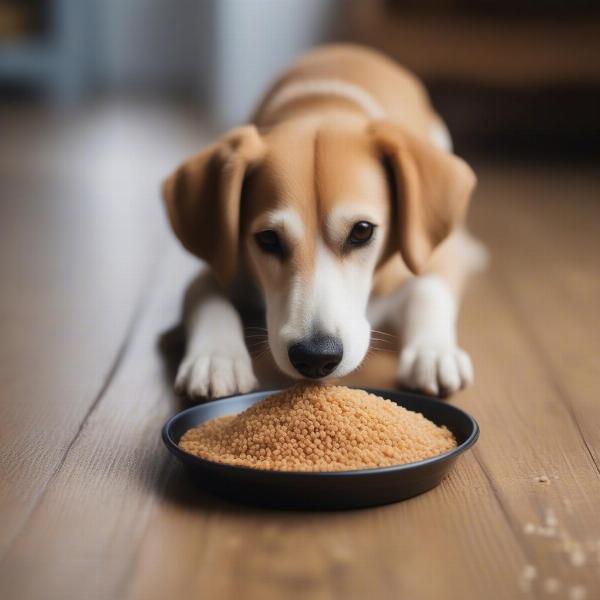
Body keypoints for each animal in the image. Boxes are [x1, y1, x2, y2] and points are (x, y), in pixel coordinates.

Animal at [162, 44, 486, 400]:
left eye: (362, 231)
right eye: (268, 238)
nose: (316, 357)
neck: (322, 109)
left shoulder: (437, 254)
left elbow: (428, 291)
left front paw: (433, 353)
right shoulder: (224, 265)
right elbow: (206, 296)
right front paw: (215, 357)